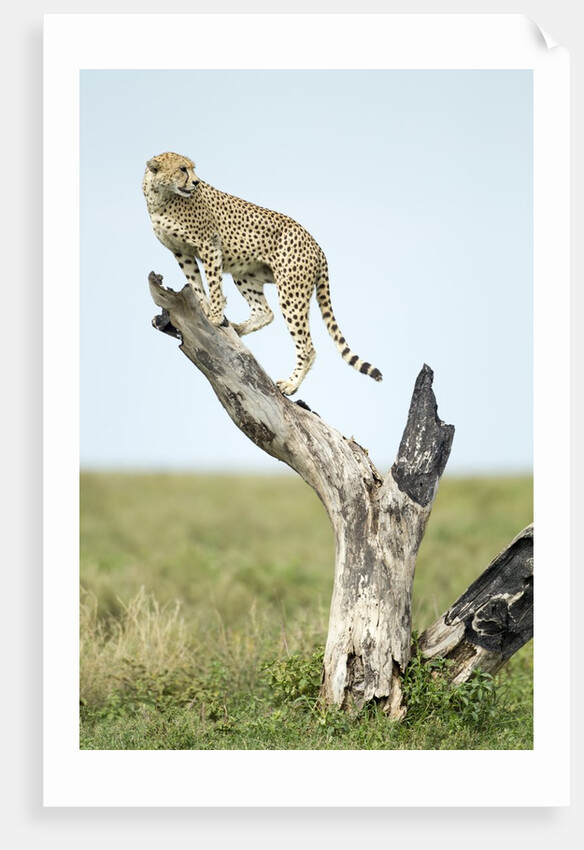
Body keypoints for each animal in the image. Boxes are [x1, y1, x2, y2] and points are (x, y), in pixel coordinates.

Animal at [143, 151, 383, 396]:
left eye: (192, 169)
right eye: (182, 169)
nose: (196, 182)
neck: (161, 196)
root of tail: (316, 244)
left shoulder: (209, 244)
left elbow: (212, 282)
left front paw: (215, 316)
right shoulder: (181, 252)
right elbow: (195, 282)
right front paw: (205, 307)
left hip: (291, 291)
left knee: (306, 346)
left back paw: (291, 384)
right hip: (244, 272)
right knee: (265, 311)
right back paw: (238, 327)